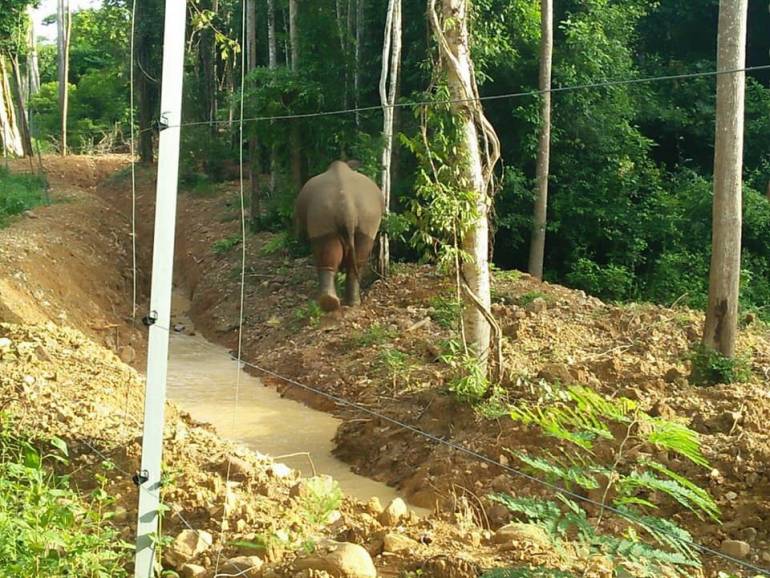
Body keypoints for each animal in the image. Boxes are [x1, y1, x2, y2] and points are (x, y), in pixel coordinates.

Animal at [292, 160, 382, 308]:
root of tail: (347, 207)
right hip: (367, 214)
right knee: (360, 252)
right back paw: (351, 303)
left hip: (322, 212)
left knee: (325, 249)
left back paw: (328, 303)